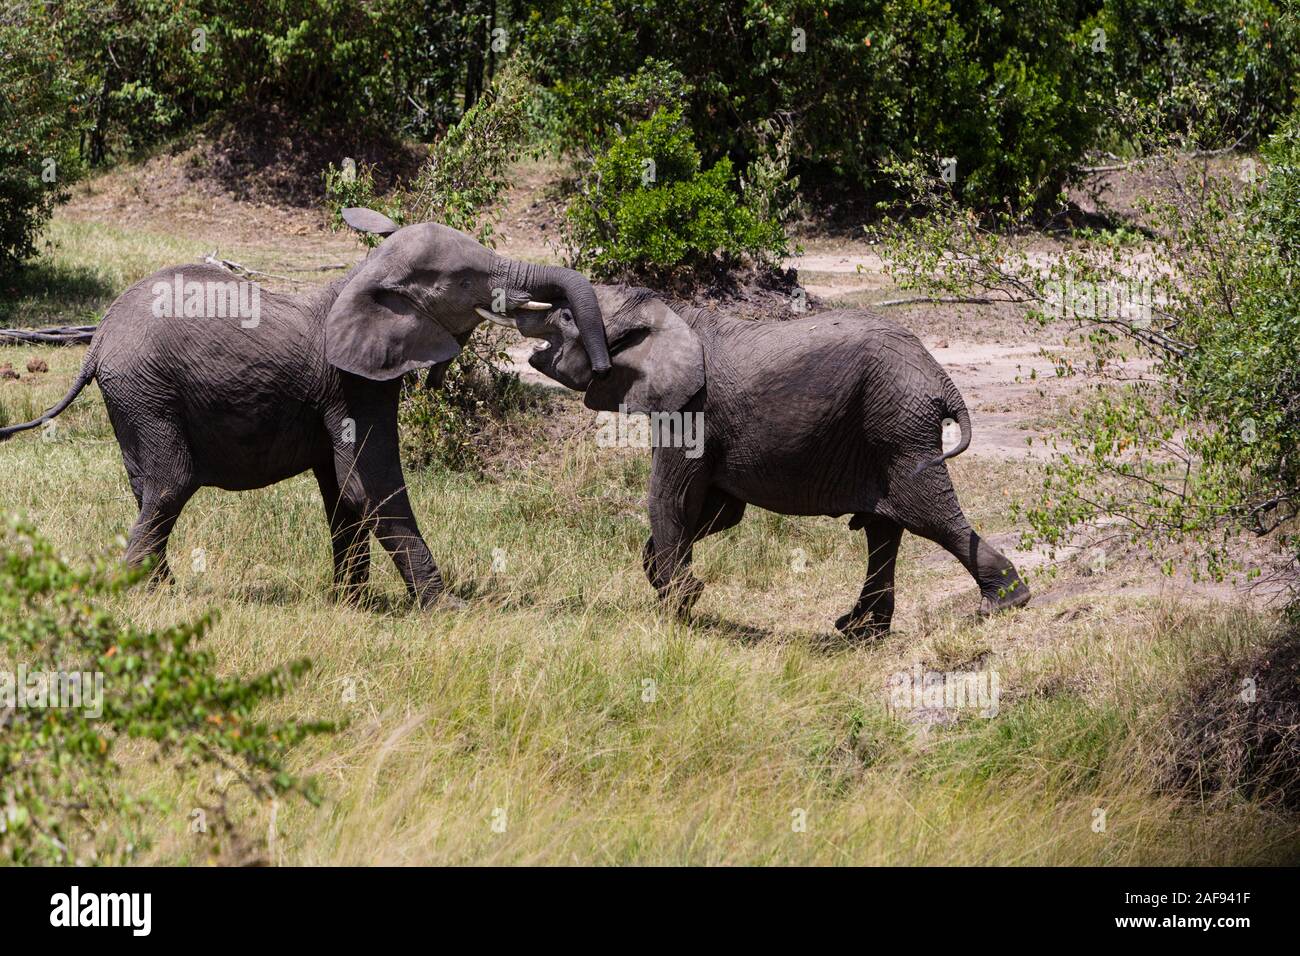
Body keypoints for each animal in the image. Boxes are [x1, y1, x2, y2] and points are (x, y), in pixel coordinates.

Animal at [0, 213, 611, 608]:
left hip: (134, 397)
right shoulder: (352, 383)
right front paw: (449, 611)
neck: (363, 277)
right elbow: (370, 486)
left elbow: (343, 492)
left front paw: (353, 606)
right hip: (145, 389)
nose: (601, 369)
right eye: (467, 280)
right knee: (171, 483)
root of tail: (99, 338)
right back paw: (140, 597)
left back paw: (160, 588)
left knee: (147, 488)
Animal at [512, 287, 1029, 639]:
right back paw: (860, 631)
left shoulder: (692, 410)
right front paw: (672, 584)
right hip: (889, 430)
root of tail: (941, 378)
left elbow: (671, 499)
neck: (664, 310)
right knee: (886, 530)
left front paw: (679, 606)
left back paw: (1002, 605)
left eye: (565, 316)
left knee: (929, 517)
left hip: (898, 424)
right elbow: (715, 512)